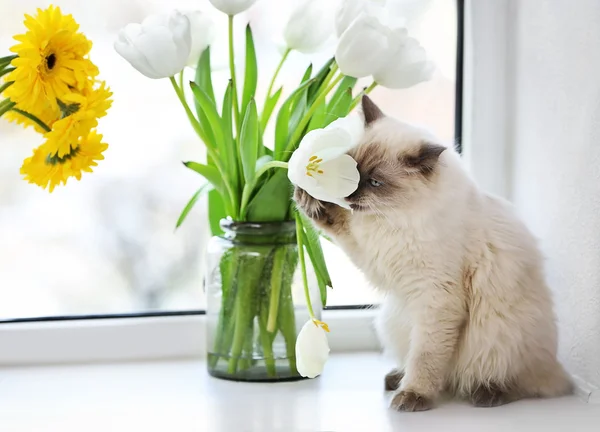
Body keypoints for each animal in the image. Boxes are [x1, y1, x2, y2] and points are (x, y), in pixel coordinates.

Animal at [296, 96, 572, 414]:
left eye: (375, 182)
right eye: (352, 170)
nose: (349, 194)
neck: (393, 220)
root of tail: (558, 370)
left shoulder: (436, 297)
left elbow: (425, 357)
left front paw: (413, 396)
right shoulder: (372, 256)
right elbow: (335, 223)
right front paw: (307, 195)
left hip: (496, 333)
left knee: (519, 382)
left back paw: (486, 393)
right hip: (394, 319)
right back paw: (396, 377)